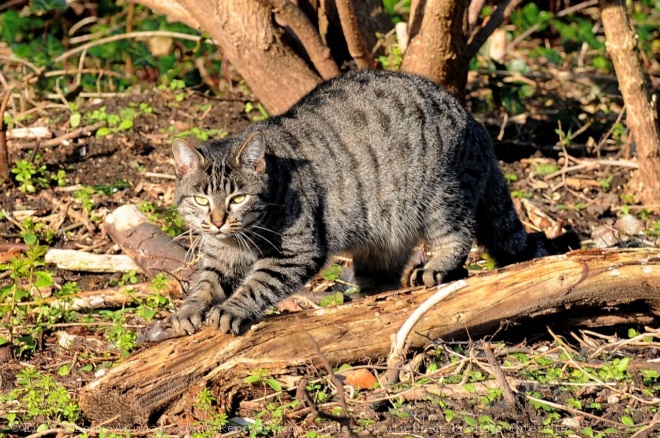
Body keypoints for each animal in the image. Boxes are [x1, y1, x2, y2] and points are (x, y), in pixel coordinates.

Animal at [170, 69, 576, 336]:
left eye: (238, 197)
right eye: (201, 199)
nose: (218, 220)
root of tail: (473, 120)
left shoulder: (298, 250)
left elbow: (258, 283)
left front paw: (231, 309)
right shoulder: (219, 254)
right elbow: (205, 281)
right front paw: (189, 310)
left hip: (443, 197)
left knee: (458, 236)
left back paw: (435, 268)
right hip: (383, 235)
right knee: (382, 276)